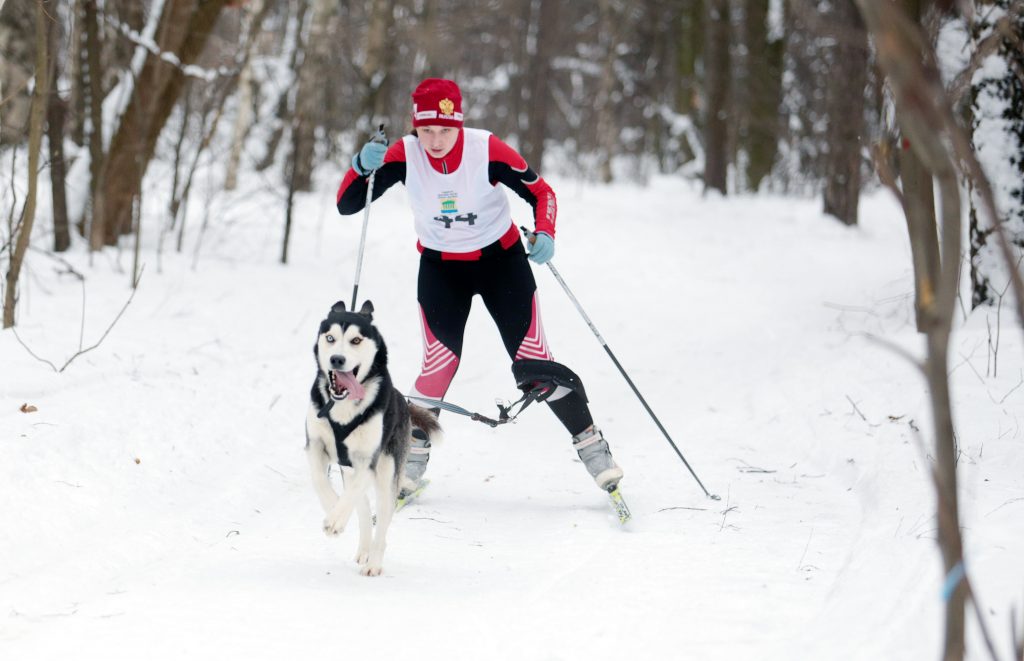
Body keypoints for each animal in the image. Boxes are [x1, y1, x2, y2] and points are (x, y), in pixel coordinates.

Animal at [303, 302, 440, 577]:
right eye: (330, 338)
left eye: (356, 340)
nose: (337, 359)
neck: (343, 408)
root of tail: (403, 401)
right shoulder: (315, 445)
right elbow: (320, 481)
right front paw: (333, 509)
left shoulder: (368, 460)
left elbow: (351, 495)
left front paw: (335, 519)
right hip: (351, 472)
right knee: (364, 512)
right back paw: (364, 550)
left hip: (386, 478)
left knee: (382, 524)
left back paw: (374, 562)